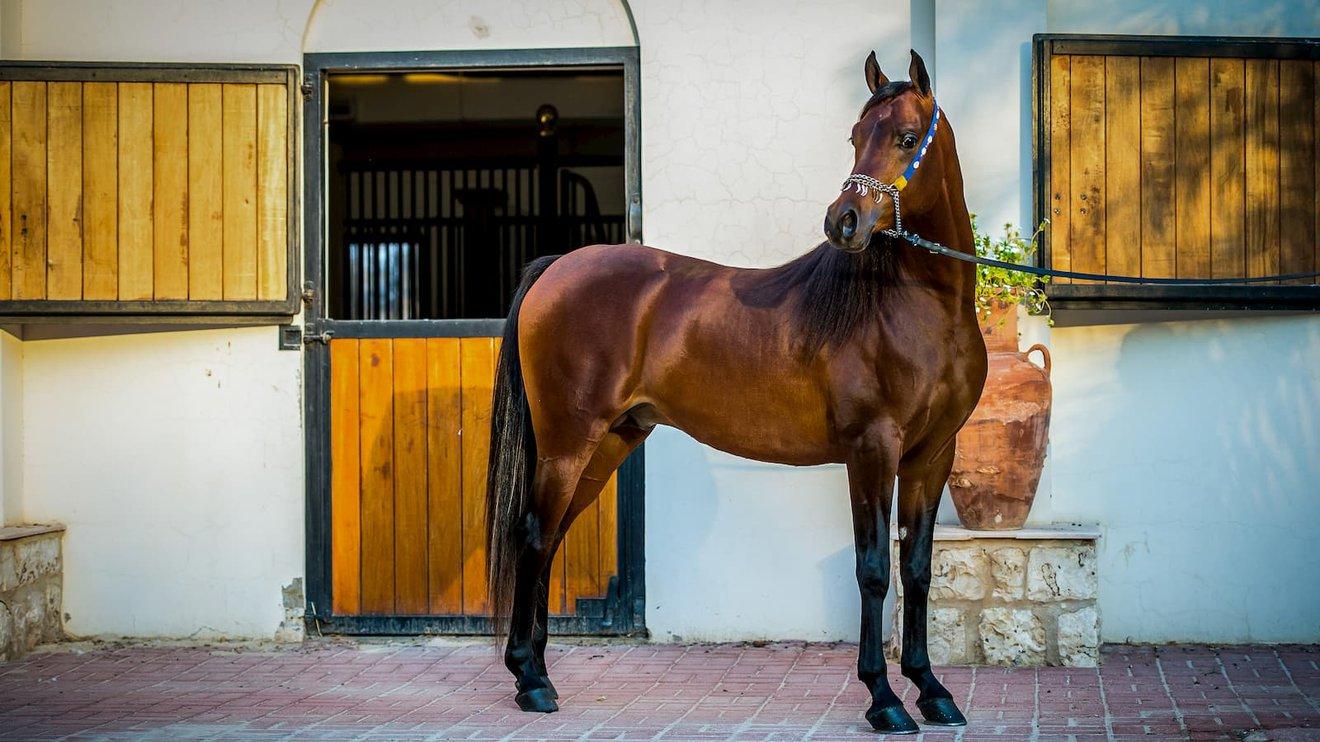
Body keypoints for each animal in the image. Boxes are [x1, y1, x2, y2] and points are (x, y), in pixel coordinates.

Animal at [485, 49, 987, 734]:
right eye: (856, 137)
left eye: (908, 138)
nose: (844, 222)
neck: (916, 307)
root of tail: (556, 266)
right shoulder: (872, 450)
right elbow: (874, 570)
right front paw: (883, 699)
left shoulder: (932, 456)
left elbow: (917, 570)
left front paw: (931, 689)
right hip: (568, 444)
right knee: (534, 536)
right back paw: (531, 682)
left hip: (608, 443)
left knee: (552, 537)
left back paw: (535, 671)